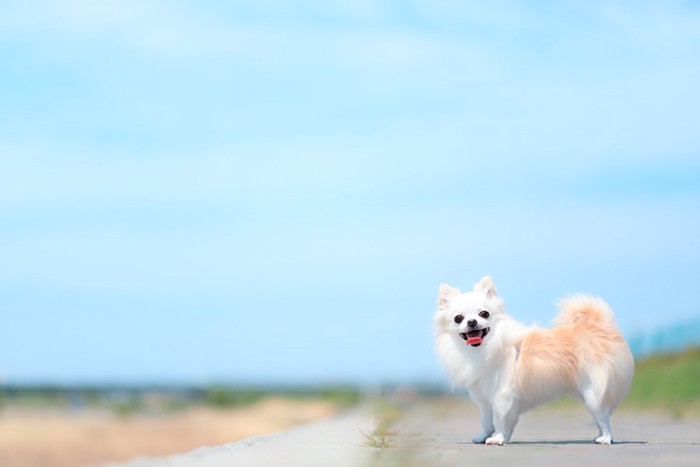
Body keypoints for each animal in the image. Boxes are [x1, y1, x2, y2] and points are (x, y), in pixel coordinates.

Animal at [432, 278, 636, 446]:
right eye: (458, 318)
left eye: (484, 314)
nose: (472, 322)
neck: (483, 349)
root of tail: (599, 328)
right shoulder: (484, 399)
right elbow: (486, 420)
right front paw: (484, 436)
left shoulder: (501, 395)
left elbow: (499, 420)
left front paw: (498, 439)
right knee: (600, 417)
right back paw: (599, 436)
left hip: (592, 392)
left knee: (603, 417)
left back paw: (606, 438)